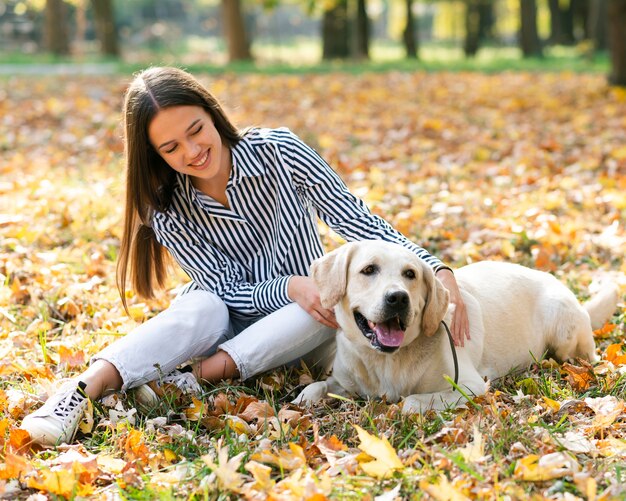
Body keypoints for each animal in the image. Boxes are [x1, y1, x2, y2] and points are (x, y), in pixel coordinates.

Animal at [294, 240, 620, 412]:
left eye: (410, 274)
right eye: (368, 270)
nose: (398, 298)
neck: (386, 360)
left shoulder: (469, 385)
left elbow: (411, 400)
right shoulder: (345, 382)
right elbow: (316, 386)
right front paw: (302, 400)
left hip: (563, 332)